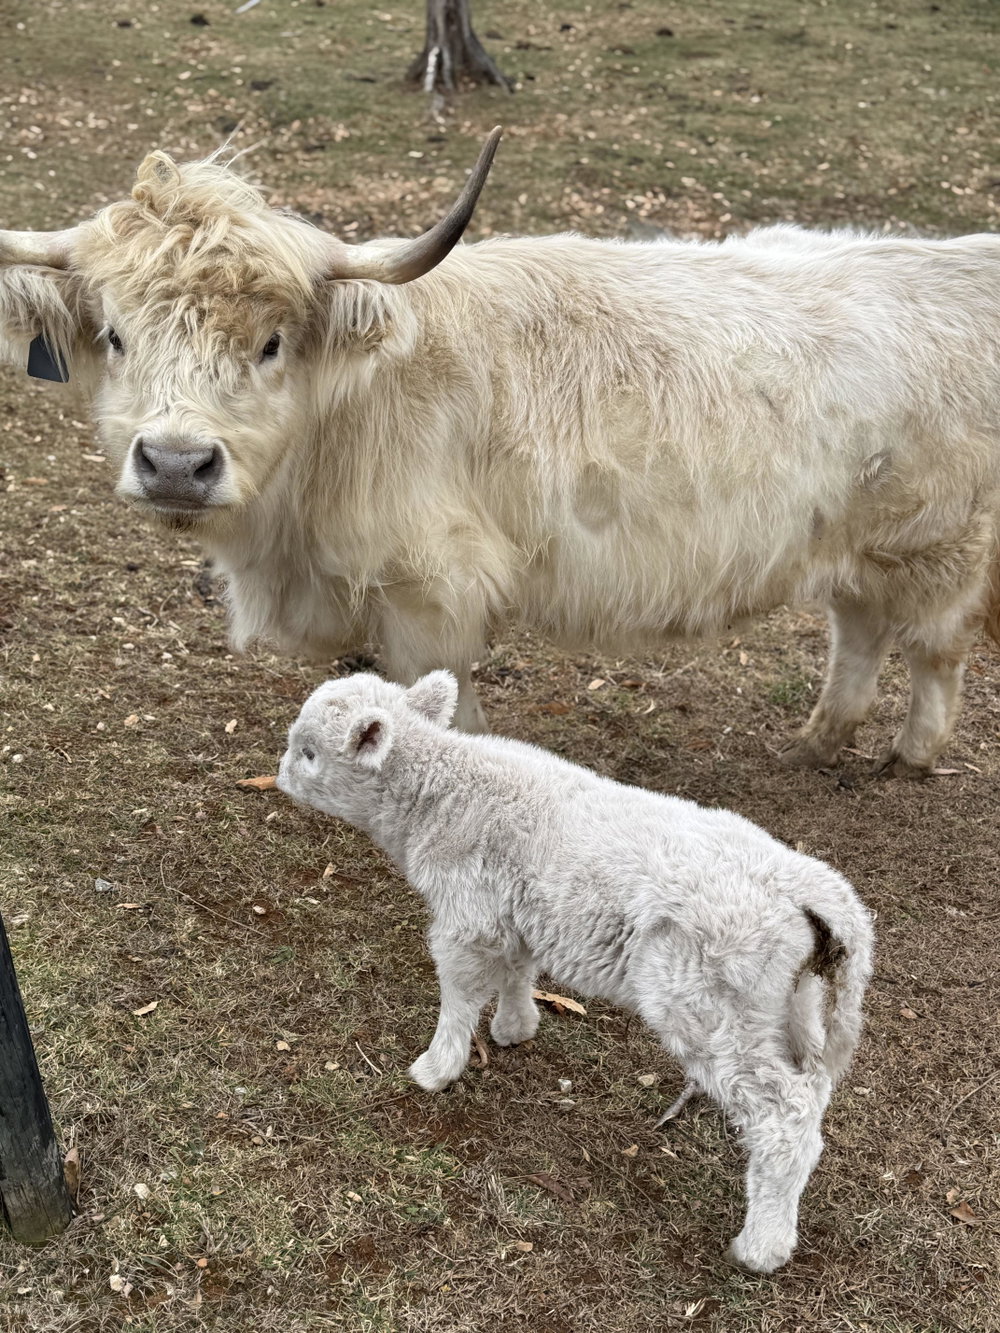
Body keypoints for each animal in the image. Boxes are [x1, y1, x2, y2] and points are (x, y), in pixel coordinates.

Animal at [1, 128, 998, 774]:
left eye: (272, 342)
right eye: (115, 334)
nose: (176, 463)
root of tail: (961, 258)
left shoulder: (431, 591)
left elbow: (448, 708)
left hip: (939, 544)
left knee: (934, 648)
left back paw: (908, 754)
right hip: (857, 546)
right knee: (861, 632)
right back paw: (818, 741)